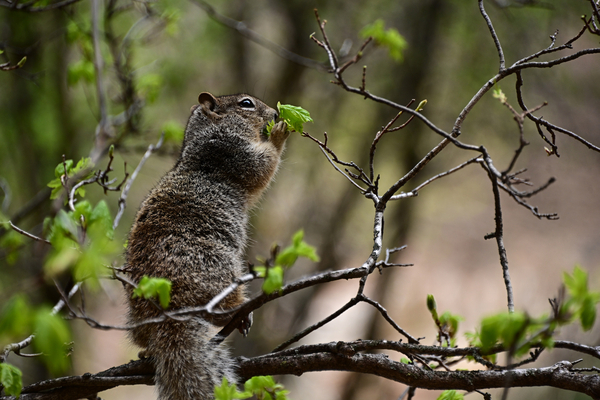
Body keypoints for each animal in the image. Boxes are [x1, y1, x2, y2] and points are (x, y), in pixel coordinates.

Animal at [123, 92, 288, 398]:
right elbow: (262, 167)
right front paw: (280, 132)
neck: (204, 134)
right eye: (246, 104)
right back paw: (240, 312)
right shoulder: (231, 151)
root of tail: (166, 311)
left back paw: (146, 353)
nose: (274, 114)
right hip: (216, 269)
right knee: (220, 308)